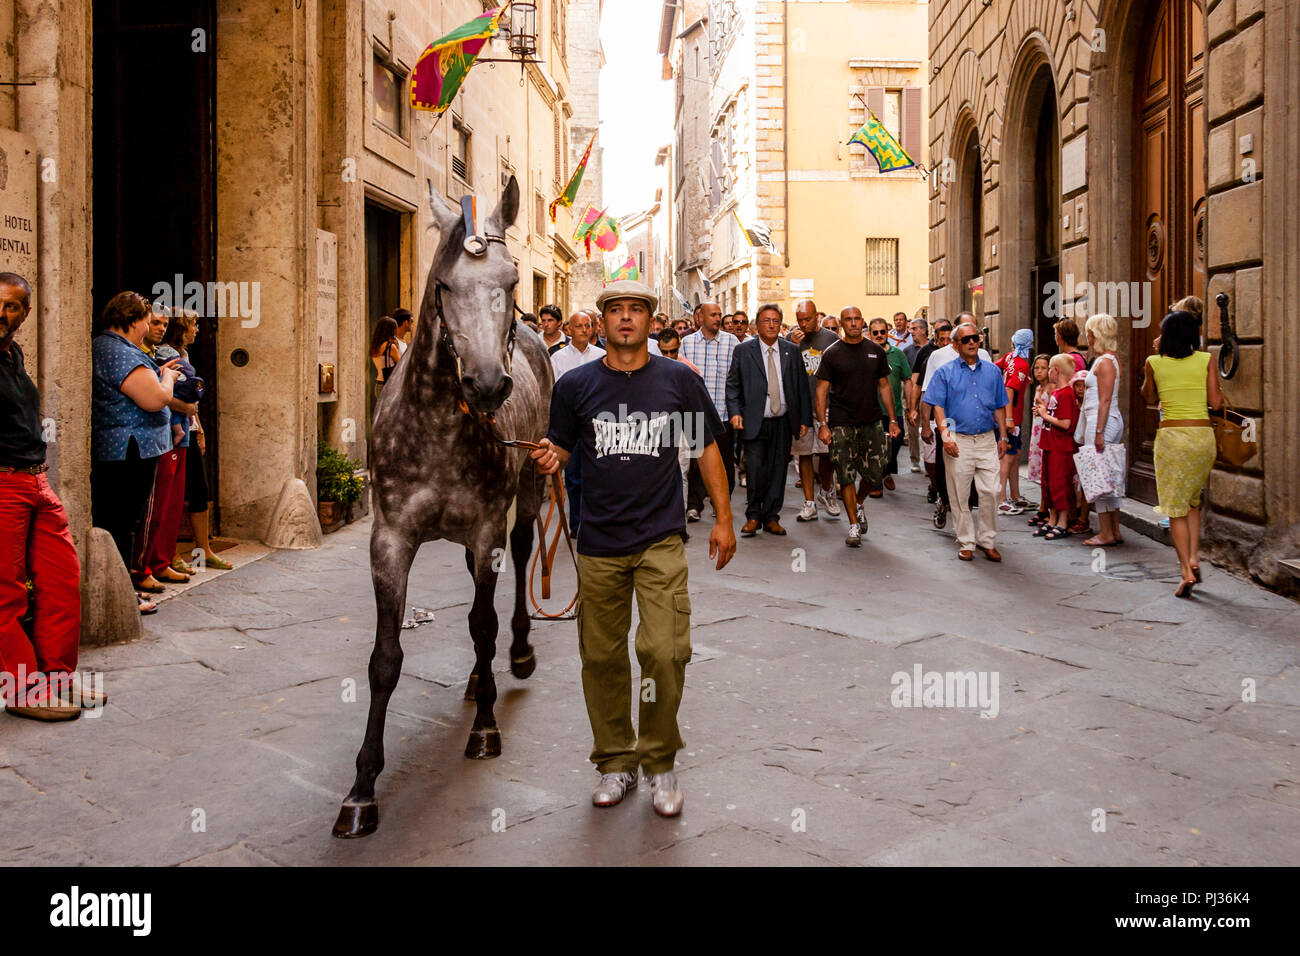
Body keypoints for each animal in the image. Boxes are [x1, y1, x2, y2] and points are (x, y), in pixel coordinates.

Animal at [332, 178, 551, 837]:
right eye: (445, 284)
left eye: (511, 281)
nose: (488, 385)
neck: (437, 423)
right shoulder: (389, 538)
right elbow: (384, 659)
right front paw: (362, 787)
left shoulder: (485, 530)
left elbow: (481, 624)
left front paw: (484, 728)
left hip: (532, 482)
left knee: (520, 560)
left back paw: (517, 654)